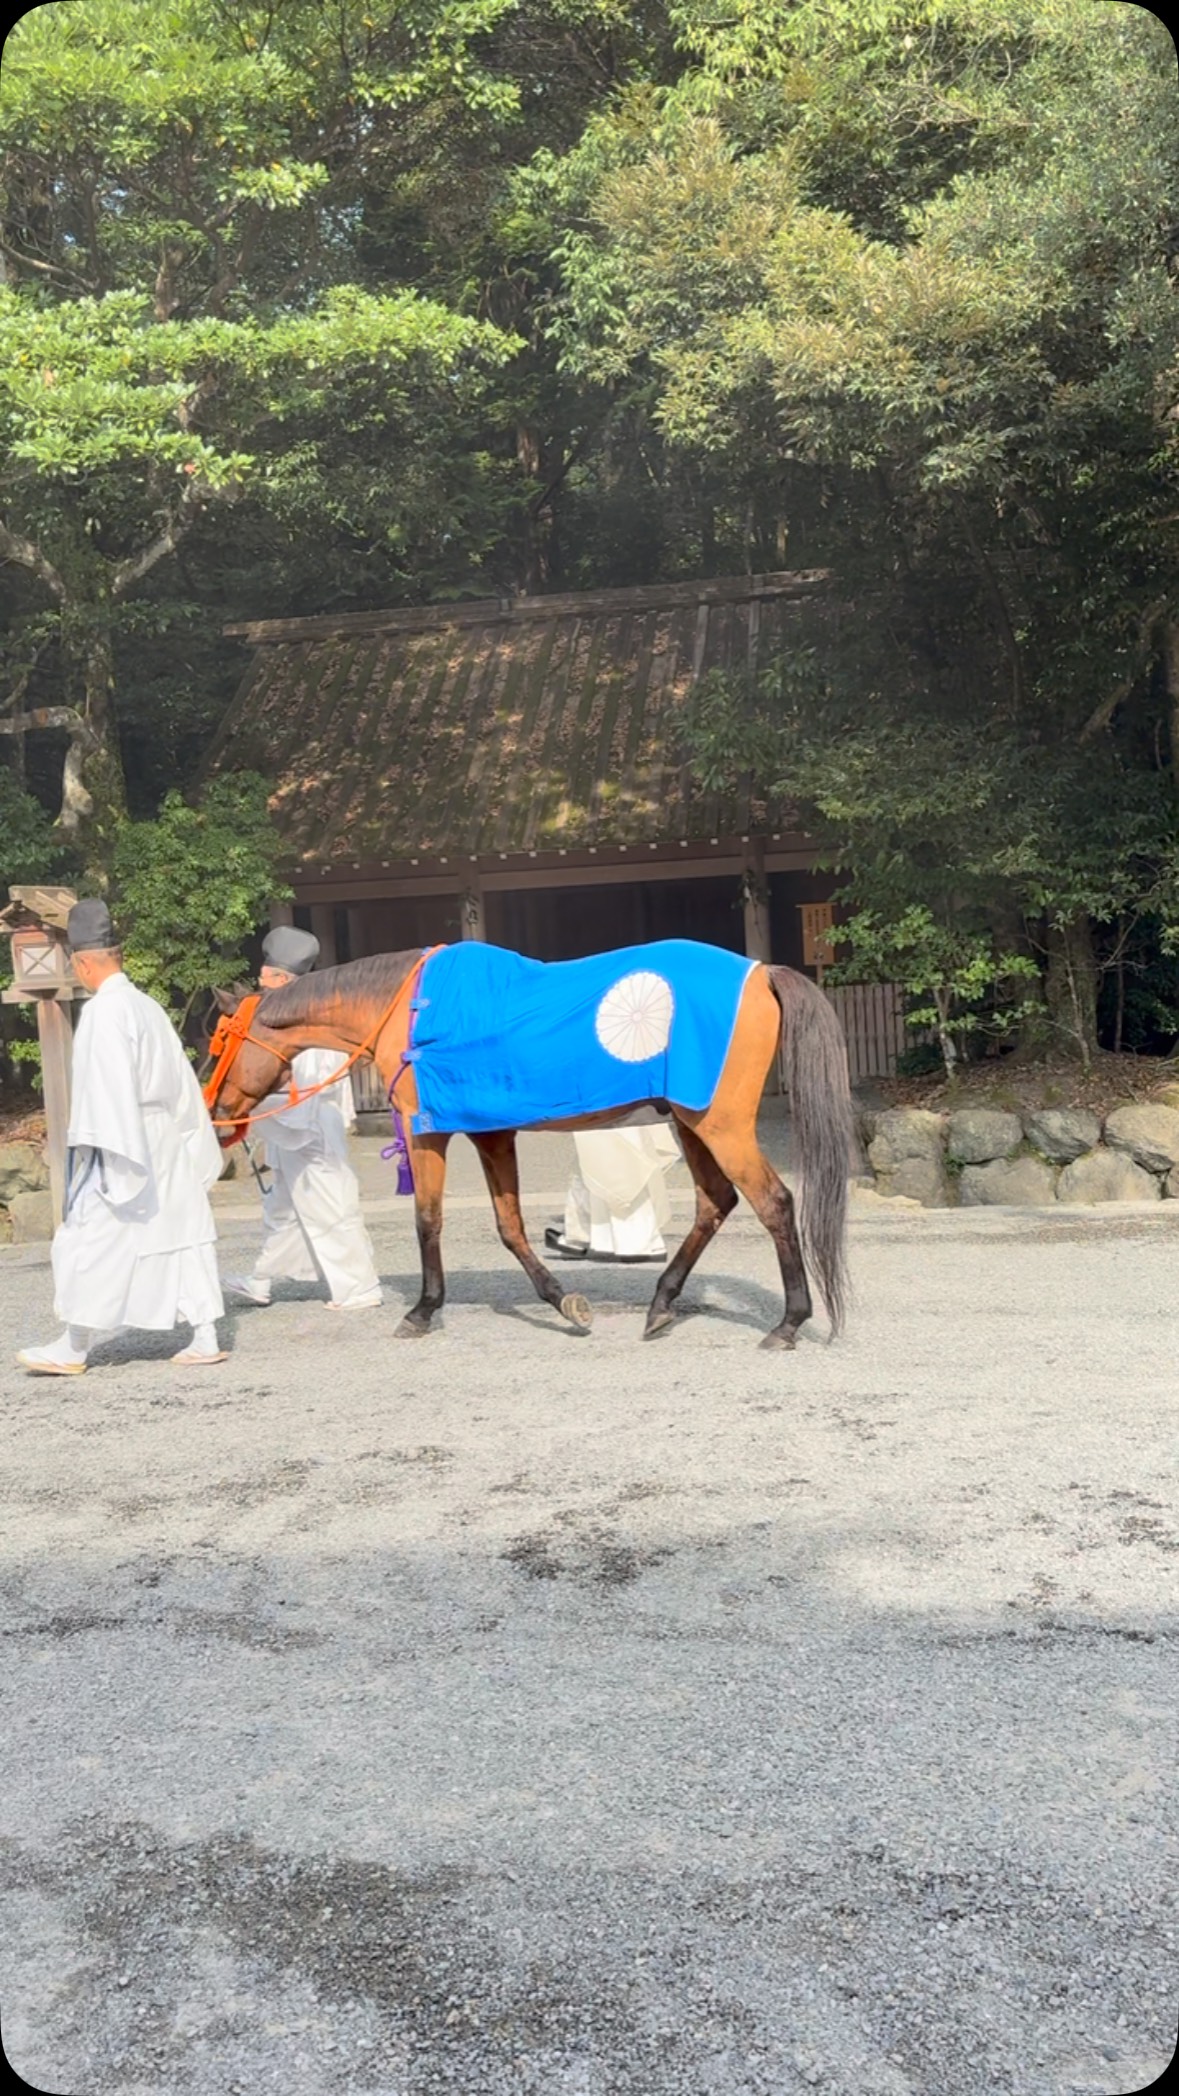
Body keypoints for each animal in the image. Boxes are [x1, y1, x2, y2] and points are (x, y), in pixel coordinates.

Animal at [205, 944, 853, 1351]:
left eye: (221, 1041)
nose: (216, 1115)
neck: (411, 1010)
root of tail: (762, 971)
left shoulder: (426, 1129)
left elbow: (428, 1220)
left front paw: (422, 1310)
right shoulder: (491, 1133)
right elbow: (510, 1226)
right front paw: (563, 1301)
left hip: (720, 1124)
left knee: (773, 1203)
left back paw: (789, 1323)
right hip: (692, 1123)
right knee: (716, 1201)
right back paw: (662, 1304)